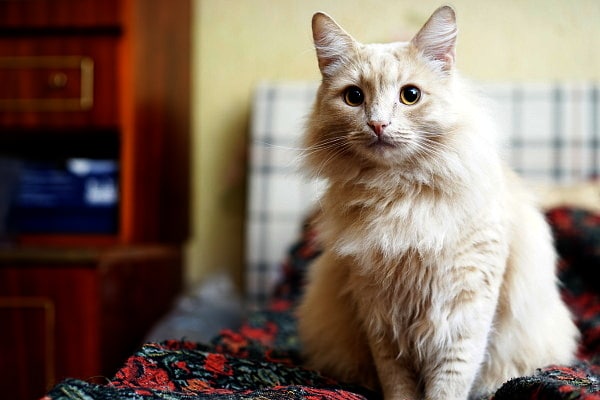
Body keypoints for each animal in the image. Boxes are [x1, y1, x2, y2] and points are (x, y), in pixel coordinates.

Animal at [298, 6, 580, 400]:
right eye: (354, 97)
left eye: (410, 95)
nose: (378, 124)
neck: (398, 195)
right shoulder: (379, 312)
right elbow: (396, 382)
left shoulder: (465, 305)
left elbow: (450, 380)